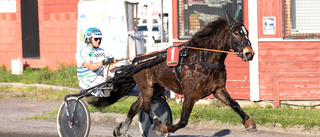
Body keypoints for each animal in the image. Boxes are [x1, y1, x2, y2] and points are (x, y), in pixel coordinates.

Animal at [89, 12, 256, 136]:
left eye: (247, 32)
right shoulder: (190, 94)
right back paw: (157, 123)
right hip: (146, 86)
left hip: (155, 88)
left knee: (135, 106)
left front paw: (250, 123)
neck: (205, 59)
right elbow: (183, 121)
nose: (250, 53)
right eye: (236, 33)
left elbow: (235, 104)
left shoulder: (218, 90)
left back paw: (121, 130)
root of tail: (137, 60)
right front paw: (165, 127)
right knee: (146, 107)